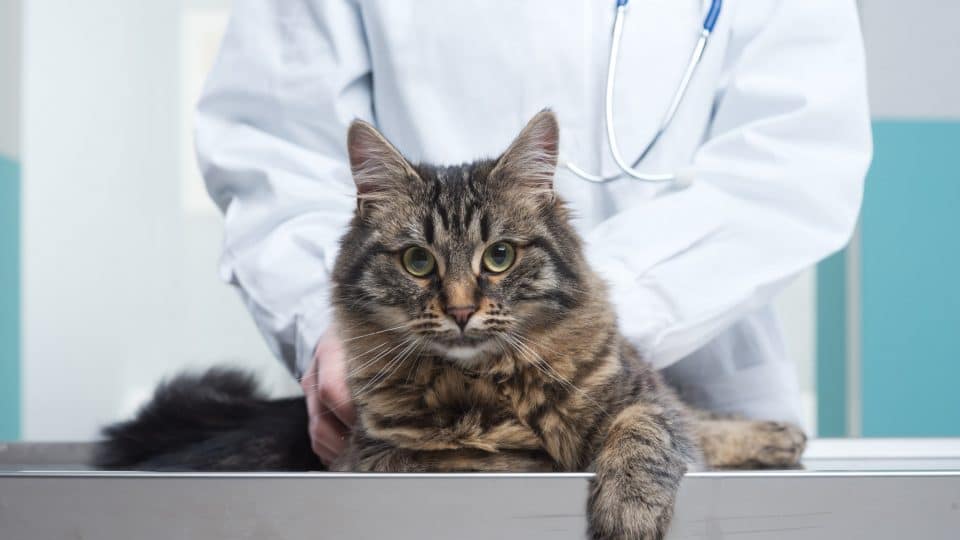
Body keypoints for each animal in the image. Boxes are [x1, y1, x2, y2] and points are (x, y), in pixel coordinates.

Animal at [97, 112, 808, 536]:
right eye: (418, 262)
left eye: (500, 256)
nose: (463, 308)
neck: (495, 383)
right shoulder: (398, 458)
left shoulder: (639, 396)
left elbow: (647, 437)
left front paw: (628, 511)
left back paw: (778, 436)